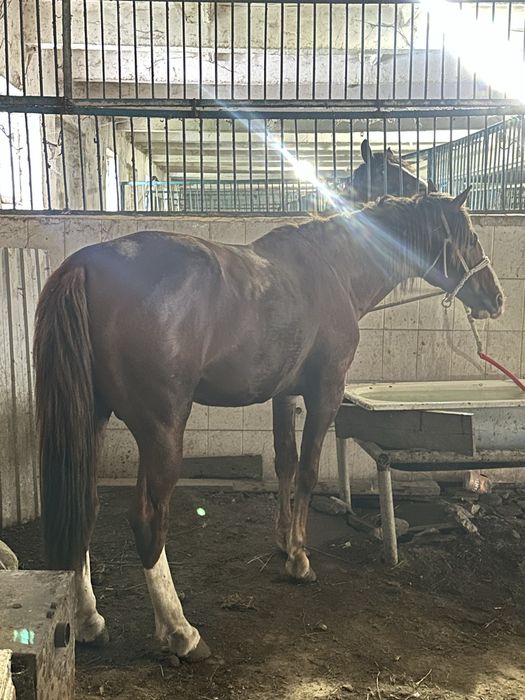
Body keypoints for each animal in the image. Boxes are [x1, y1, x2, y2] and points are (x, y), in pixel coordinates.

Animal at [34, 188, 504, 662]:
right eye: (470, 237)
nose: (497, 298)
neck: (336, 267)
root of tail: (85, 264)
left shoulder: (284, 394)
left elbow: (285, 462)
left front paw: (284, 538)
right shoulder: (324, 393)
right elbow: (309, 471)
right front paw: (299, 559)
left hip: (93, 420)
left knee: (85, 504)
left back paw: (90, 621)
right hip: (162, 429)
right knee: (148, 520)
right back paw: (181, 632)